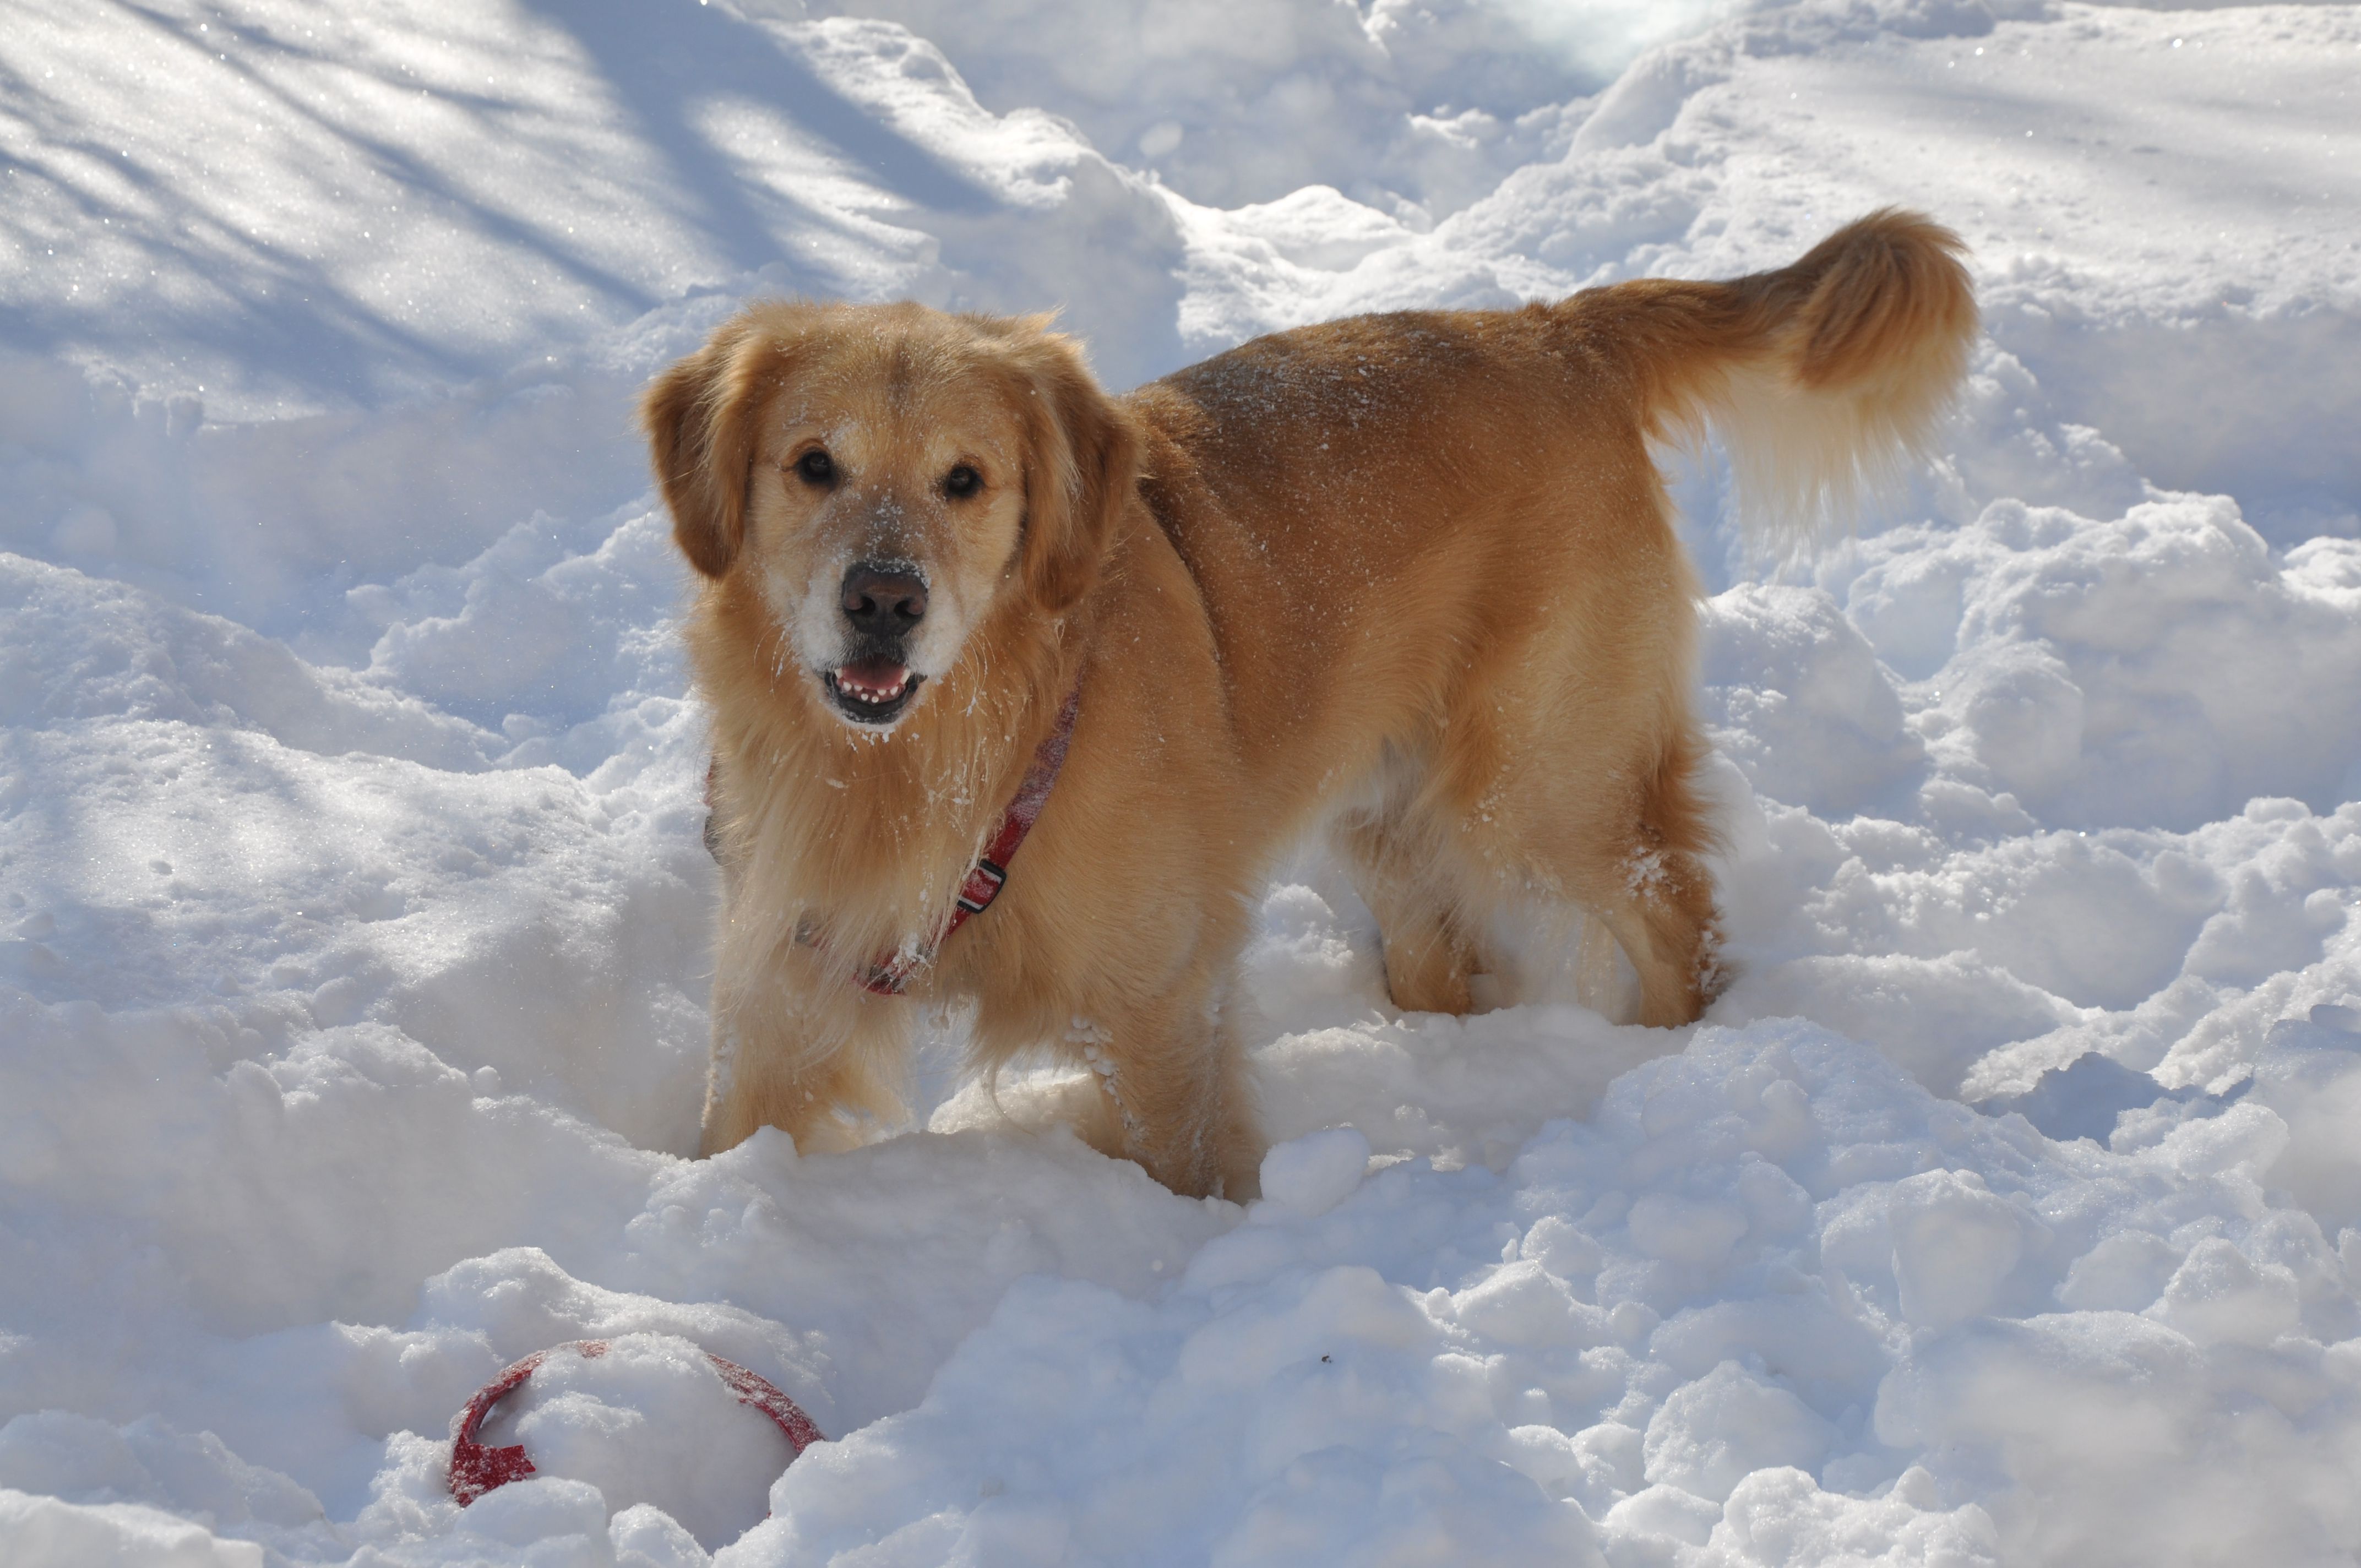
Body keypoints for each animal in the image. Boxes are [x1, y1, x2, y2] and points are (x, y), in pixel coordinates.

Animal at [642, 208, 1973, 1199]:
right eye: (813, 464)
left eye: (964, 481)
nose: (883, 600)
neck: (941, 758)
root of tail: (1556, 331)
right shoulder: (779, 984)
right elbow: (728, 1138)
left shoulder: (1156, 1002)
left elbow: (1174, 1163)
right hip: (1384, 806)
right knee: (1449, 952)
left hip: (1532, 786)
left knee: (1673, 911)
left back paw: (1665, 1075)